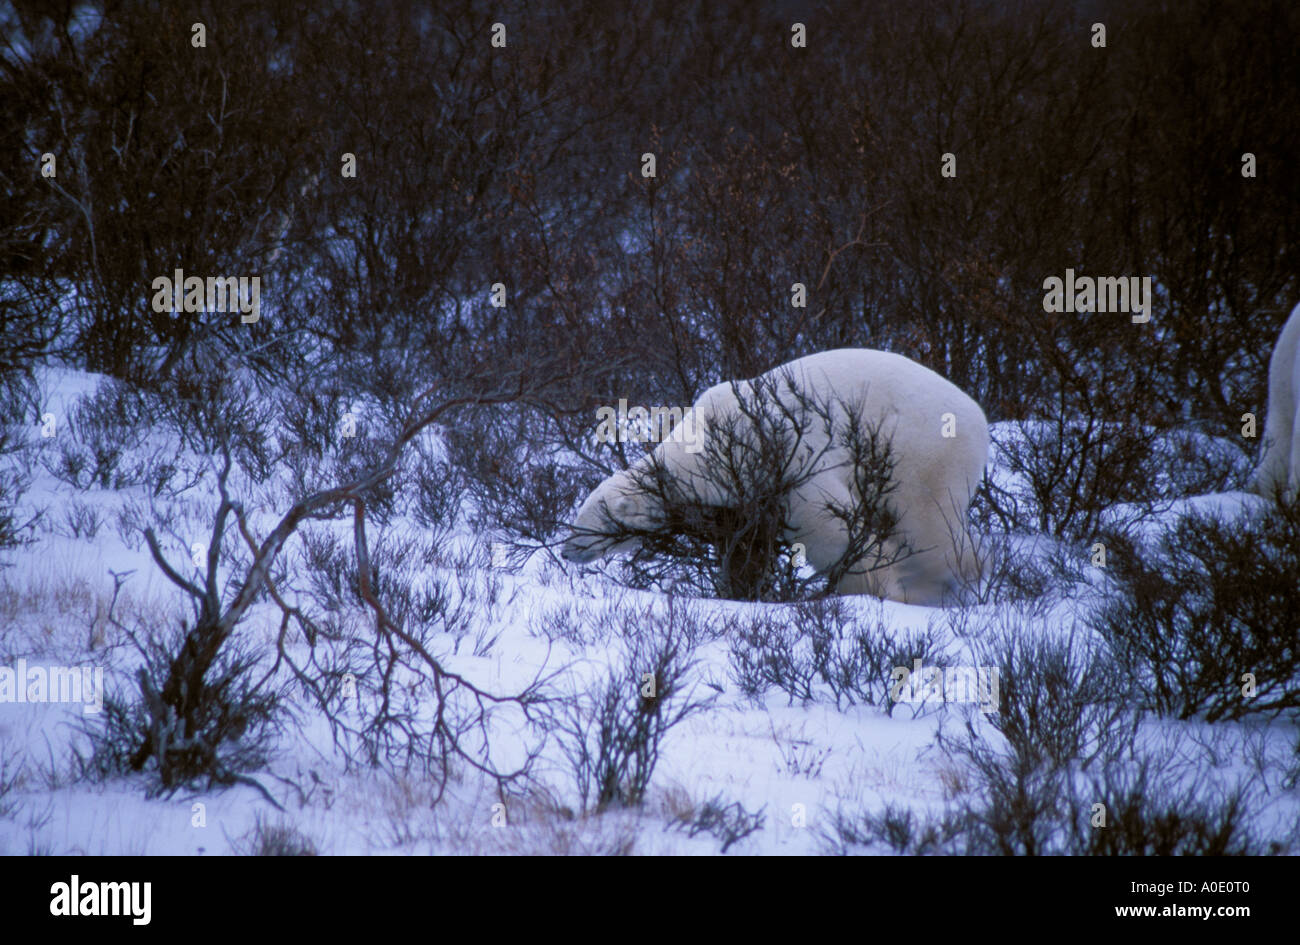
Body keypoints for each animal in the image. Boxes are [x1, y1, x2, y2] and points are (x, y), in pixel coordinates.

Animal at [559, 348, 982, 605]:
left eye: (586, 523)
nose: (566, 550)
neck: (707, 444)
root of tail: (976, 413)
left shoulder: (785, 457)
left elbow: (826, 525)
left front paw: (875, 588)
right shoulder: (742, 493)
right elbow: (746, 545)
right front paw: (741, 588)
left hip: (921, 448)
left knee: (926, 520)